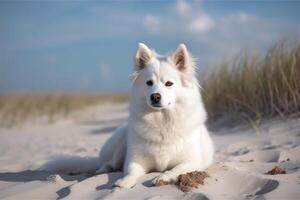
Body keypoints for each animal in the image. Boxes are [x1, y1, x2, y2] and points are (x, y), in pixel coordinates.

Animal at [96, 43, 213, 188]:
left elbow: (176, 169)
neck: (162, 121)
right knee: (111, 162)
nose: (155, 96)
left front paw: (163, 177)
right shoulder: (135, 159)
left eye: (169, 83)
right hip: (121, 146)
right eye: (149, 83)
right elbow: (131, 170)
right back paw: (102, 170)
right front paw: (125, 181)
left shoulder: (193, 161)